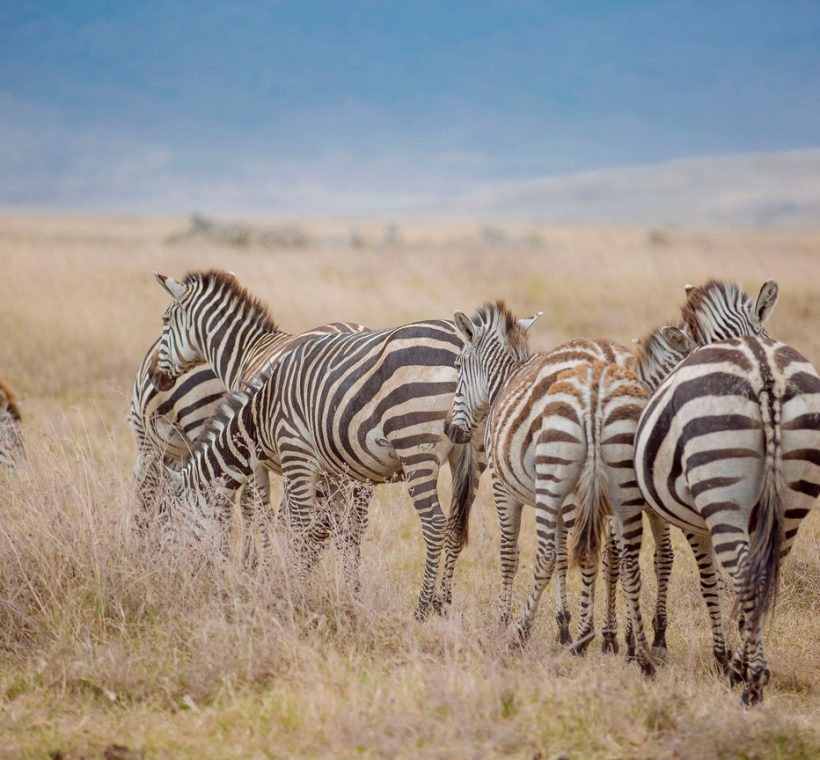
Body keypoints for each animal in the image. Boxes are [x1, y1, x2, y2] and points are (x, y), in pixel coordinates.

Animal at [158, 316, 484, 619]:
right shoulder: (335, 474)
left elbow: (300, 528)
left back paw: (422, 608)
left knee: (434, 523)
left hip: (414, 444)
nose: (169, 581)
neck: (262, 414)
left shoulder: (296, 455)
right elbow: (340, 533)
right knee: (455, 525)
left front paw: (293, 589)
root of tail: (459, 339)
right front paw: (348, 593)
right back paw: (444, 604)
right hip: (468, 451)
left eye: (171, 525)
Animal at [443, 302, 695, 663]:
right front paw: (564, 625)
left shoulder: (506, 488)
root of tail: (606, 360)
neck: (504, 381)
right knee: (626, 555)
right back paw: (630, 642)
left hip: (574, 485)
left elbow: (512, 553)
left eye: (458, 365)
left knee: (574, 552)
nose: (450, 430)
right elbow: (565, 556)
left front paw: (504, 621)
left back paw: (575, 638)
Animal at [635, 334, 820, 704]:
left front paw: (717, 654)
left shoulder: (695, 526)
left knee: (746, 579)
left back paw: (751, 682)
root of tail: (764, 368)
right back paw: (746, 671)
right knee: (760, 579)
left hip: (720, 491)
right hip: (791, 504)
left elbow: (706, 581)